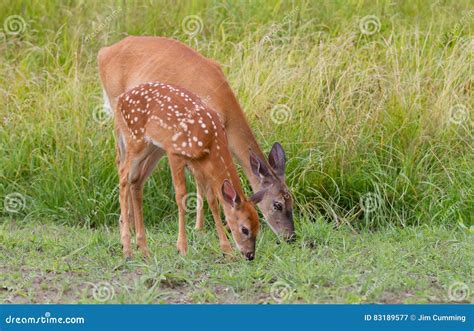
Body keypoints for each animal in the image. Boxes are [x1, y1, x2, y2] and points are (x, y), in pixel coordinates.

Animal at [98, 37, 294, 241]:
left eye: (292, 201)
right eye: (278, 204)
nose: (290, 236)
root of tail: (103, 52)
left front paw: (200, 227)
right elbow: (202, 181)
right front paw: (203, 228)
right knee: (121, 162)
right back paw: (125, 222)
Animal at [114, 81, 262, 260]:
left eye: (258, 227)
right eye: (244, 229)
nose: (250, 255)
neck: (211, 140)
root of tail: (120, 100)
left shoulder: (198, 162)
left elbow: (212, 200)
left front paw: (226, 249)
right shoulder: (174, 151)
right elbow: (181, 196)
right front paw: (182, 248)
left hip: (152, 147)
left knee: (135, 181)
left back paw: (143, 250)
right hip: (135, 139)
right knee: (123, 176)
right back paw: (127, 250)